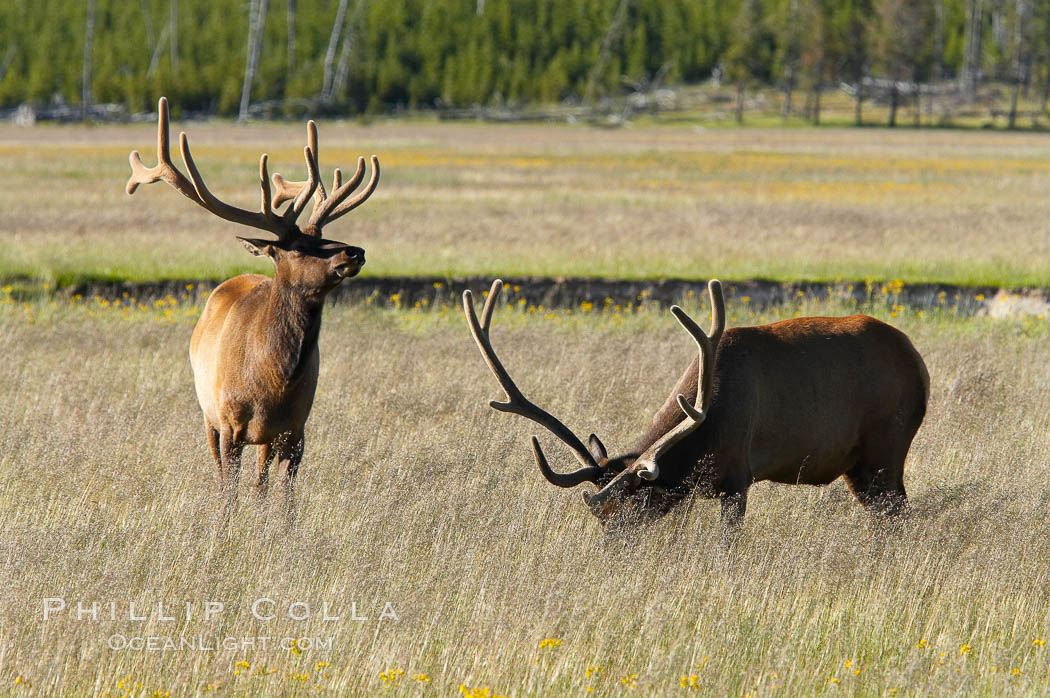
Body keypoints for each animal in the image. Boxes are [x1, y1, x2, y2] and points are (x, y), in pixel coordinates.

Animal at [125, 96, 382, 516]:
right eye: (299, 247)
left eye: (323, 236)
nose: (354, 251)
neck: (275, 380)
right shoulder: (230, 423)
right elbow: (228, 493)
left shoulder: (296, 429)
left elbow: (283, 499)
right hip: (209, 414)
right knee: (221, 477)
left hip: (265, 438)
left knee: (260, 485)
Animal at [464, 279, 932, 537]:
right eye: (601, 518)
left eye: (633, 510)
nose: (612, 554)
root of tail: (919, 363)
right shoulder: (692, 489)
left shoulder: (738, 474)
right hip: (856, 465)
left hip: (888, 444)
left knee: (900, 515)